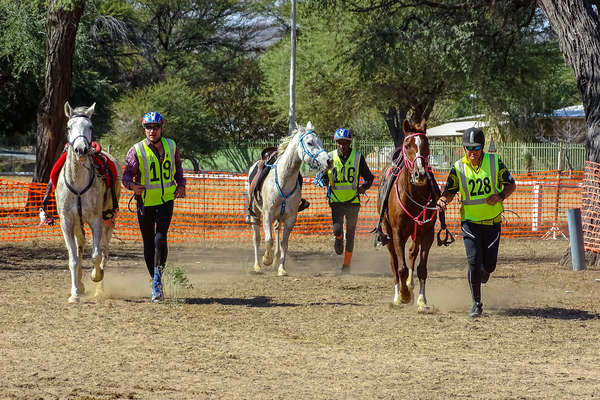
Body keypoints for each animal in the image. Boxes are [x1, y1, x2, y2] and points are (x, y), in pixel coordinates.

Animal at [55, 101, 122, 302]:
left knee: (104, 250)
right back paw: (80, 284)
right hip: (78, 223)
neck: (78, 183)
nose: (81, 149)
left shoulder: (96, 221)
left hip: (109, 219)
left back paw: (99, 287)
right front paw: (75, 293)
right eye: (69, 127)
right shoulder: (67, 222)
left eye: (90, 126)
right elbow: (74, 258)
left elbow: (96, 255)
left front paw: (96, 275)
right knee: (81, 247)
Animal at [248, 122, 332, 276]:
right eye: (310, 143)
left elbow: (284, 244)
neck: (284, 180)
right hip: (255, 214)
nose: (329, 161)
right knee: (256, 238)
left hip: (278, 218)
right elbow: (268, 240)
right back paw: (257, 266)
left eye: (320, 142)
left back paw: (275, 262)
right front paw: (266, 260)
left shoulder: (290, 218)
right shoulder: (267, 214)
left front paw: (281, 268)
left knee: (276, 232)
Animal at [378, 119, 438, 312]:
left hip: (416, 233)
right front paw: (404, 295)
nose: (420, 174)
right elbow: (401, 267)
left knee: (412, 253)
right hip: (389, 234)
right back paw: (399, 294)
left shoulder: (427, 233)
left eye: (426, 144)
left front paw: (421, 300)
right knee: (394, 263)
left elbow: (422, 268)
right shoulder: (397, 233)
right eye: (407, 145)